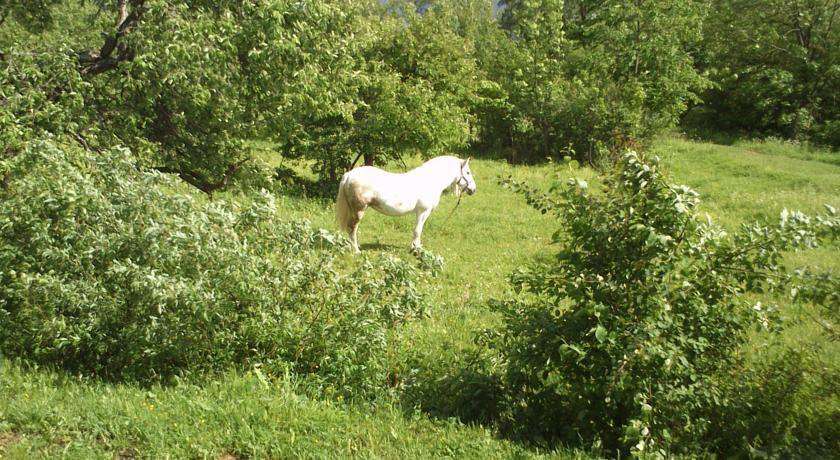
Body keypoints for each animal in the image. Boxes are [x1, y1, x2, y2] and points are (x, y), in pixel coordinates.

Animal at [336, 156, 480, 253]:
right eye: (468, 172)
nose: (473, 189)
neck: (431, 180)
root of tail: (349, 175)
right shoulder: (423, 212)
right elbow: (417, 230)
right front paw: (416, 250)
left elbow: (417, 230)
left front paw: (416, 247)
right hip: (359, 210)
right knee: (352, 228)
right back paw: (356, 251)